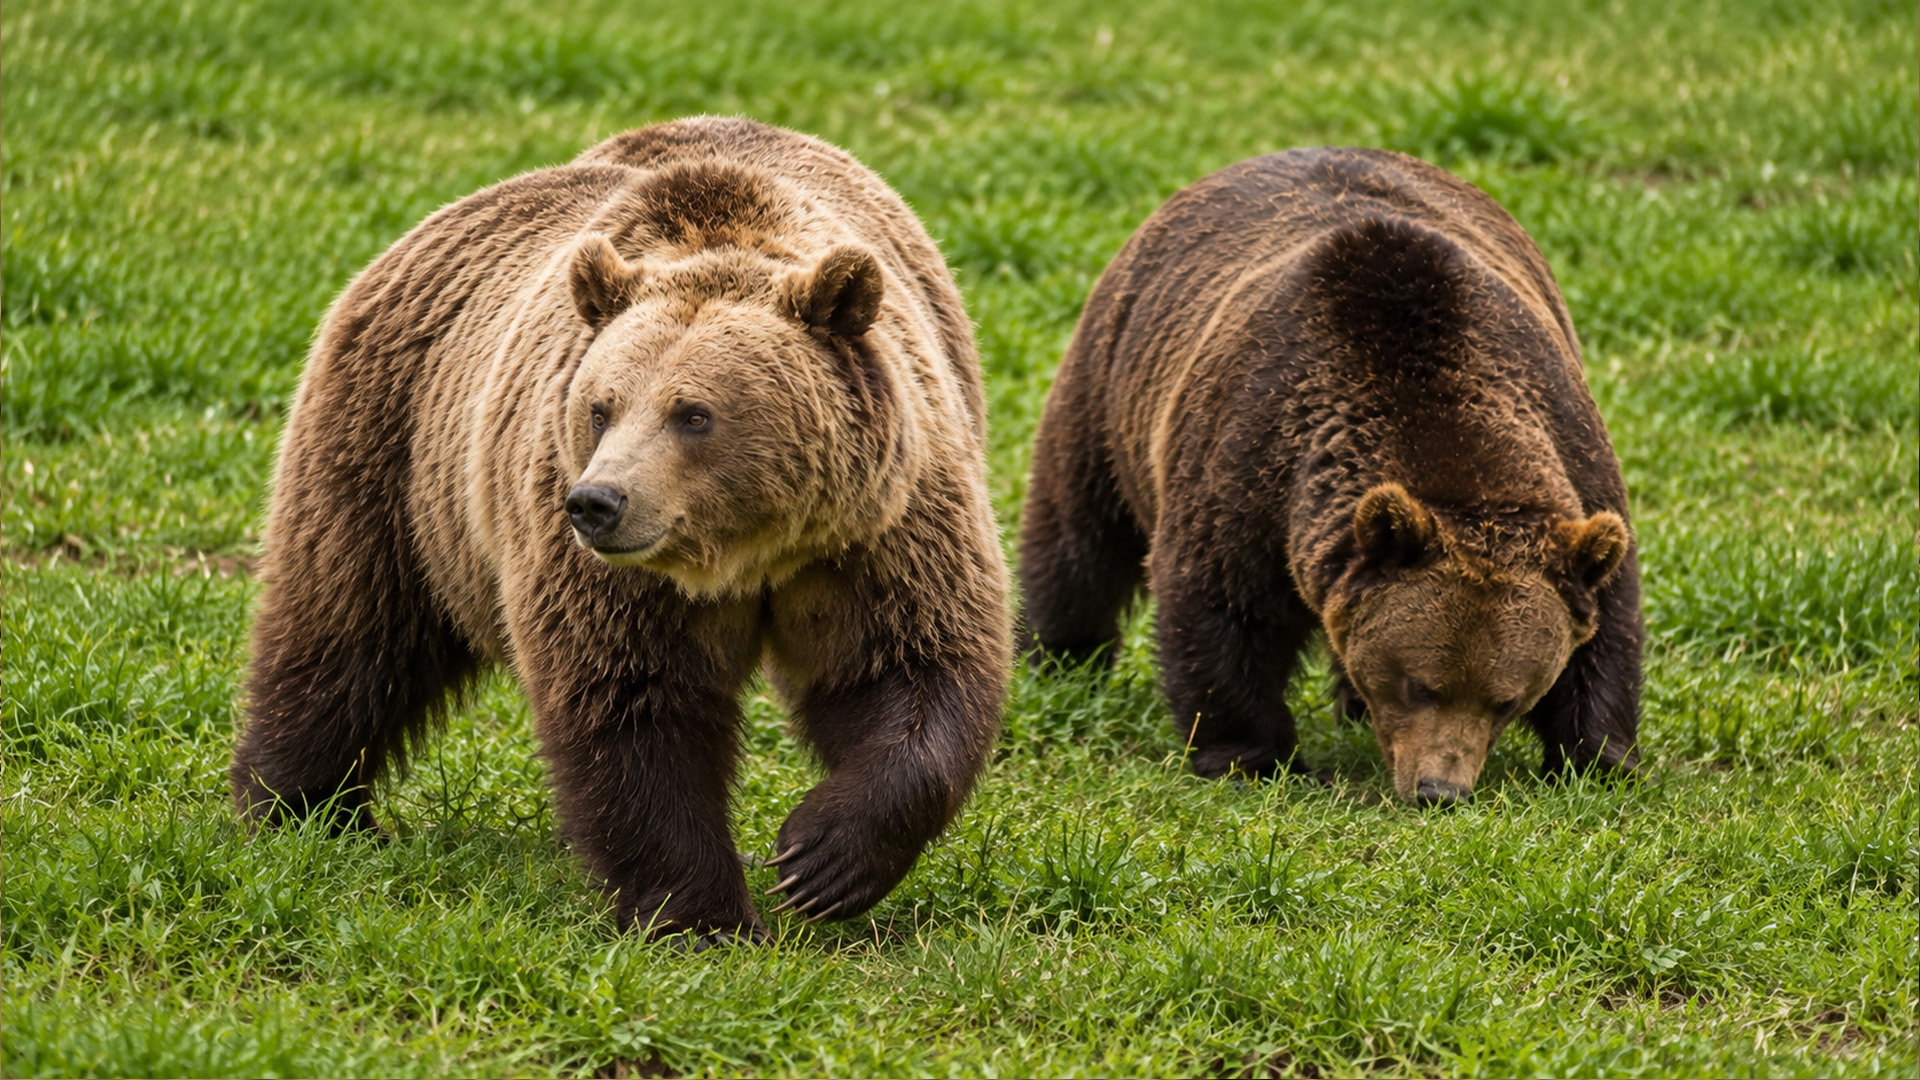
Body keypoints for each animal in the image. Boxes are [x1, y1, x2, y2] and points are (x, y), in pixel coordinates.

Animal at [230, 116, 1012, 943]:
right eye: (600, 406)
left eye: (693, 413)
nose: (597, 503)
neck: (745, 549)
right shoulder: (607, 569)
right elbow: (633, 703)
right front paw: (702, 916)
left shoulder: (876, 529)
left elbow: (907, 667)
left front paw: (821, 857)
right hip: (396, 454)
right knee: (347, 630)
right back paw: (302, 809)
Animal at [1019, 146, 1641, 805]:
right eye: (1421, 684)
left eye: (1505, 699)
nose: (1438, 790)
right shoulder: (1253, 458)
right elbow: (1221, 604)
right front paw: (1255, 758)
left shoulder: (1570, 450)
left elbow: (1607, 625)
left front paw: (1598, 761)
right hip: (1110, 385)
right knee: (1079, 538)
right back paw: (1063, 661)